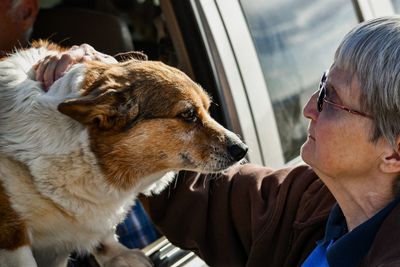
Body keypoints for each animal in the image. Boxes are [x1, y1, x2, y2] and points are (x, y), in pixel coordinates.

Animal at [0, 42, 247, 267]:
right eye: (188, 114)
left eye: (207, 108)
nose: (243, 149)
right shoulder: (12, 237)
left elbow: (104, 234)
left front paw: (119, 255)